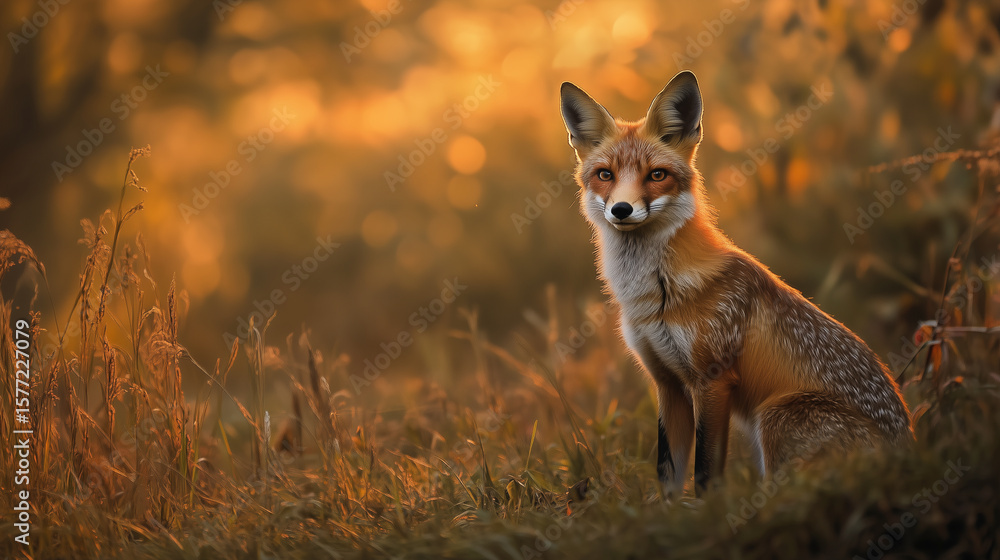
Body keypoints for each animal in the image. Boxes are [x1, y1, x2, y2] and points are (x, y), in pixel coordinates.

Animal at [558, 71, 913, 497]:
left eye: (657, 175)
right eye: (605, 175)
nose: (622, 209)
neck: (656, 294)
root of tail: (909, 451)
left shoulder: (713, 380)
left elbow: (706, 472)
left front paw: (707, 511)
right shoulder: (667, 382)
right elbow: (668, 473)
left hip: (775, 417)